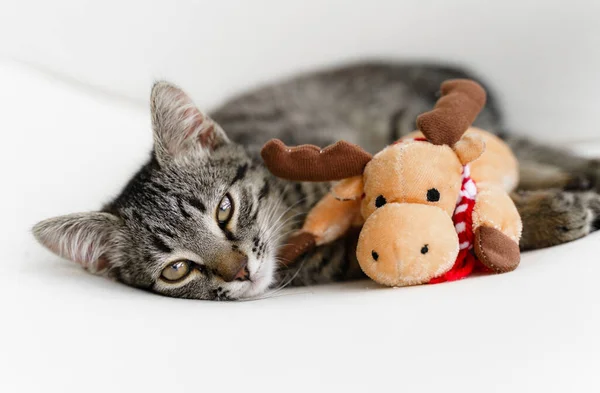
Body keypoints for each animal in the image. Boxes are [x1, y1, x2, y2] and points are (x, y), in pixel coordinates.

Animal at [31, 62, 600, 298]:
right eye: (176, 270)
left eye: (223, 210)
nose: (240, 271)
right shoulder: (336, 257)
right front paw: (547, 213)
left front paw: (543, 211)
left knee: (520, 148)